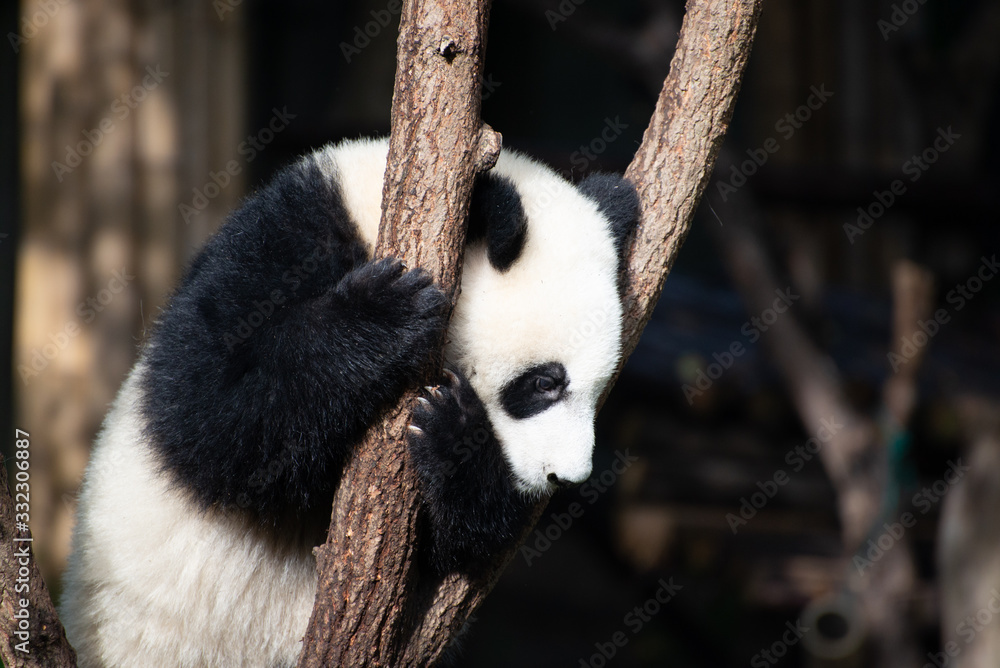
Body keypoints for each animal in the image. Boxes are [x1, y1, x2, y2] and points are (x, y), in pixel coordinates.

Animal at [60, 137, 639, 667]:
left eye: (599, 388)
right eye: (546, 383)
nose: (564, 476)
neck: (377, 215)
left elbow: (455, 547)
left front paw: (451, 433)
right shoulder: (288, 237)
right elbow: (210, 415)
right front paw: (386, 312)